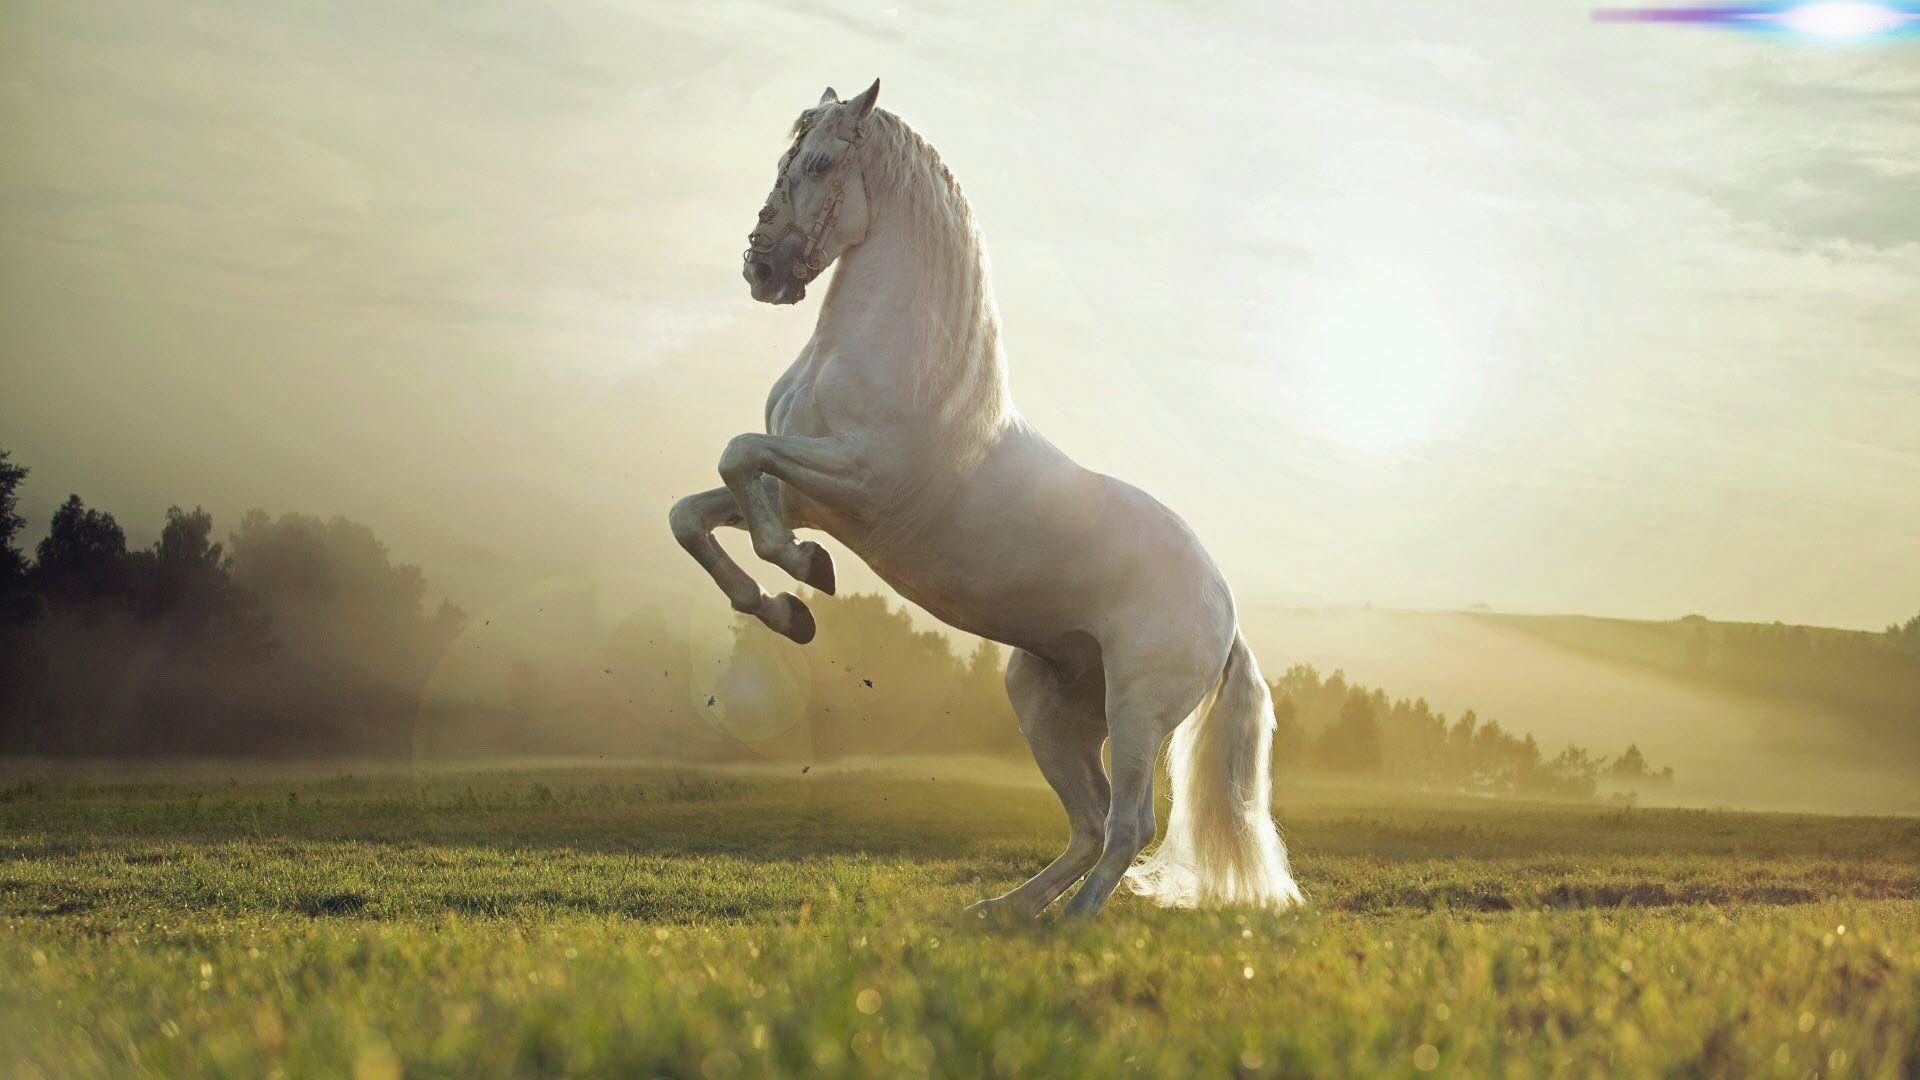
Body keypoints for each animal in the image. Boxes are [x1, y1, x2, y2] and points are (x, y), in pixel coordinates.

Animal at [669, 80, 1302, 919]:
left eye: (822, 163)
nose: (761, 268)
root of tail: (1224, 611)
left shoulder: (855, 481)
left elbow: (739, 457)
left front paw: (805, 575)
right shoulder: (803, 493)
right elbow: (695, 512)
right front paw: (785, 609)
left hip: (1138, 712)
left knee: (1128, 825)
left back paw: (1069, 925)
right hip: (1045, 702)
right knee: (1089, 824)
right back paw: (1002, 914)